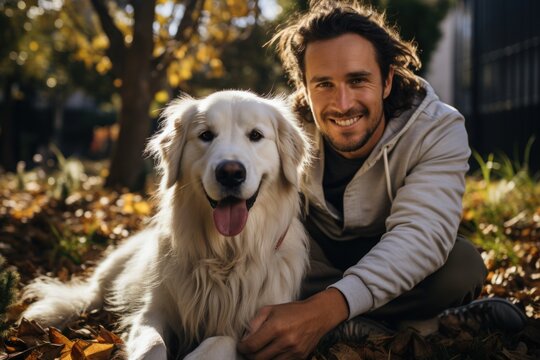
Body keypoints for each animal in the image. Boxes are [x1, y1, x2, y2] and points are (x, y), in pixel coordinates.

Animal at [20, 89, 312, 358]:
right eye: (206, 135)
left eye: (256, 135)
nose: (230, 173)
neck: (225, 255)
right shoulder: (154, 311)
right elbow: (153, 345)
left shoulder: (252, 331)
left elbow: (216, 344)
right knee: (89, 295)